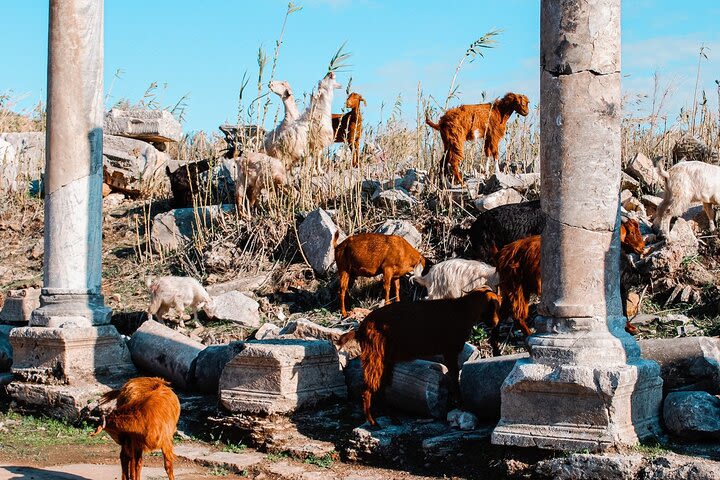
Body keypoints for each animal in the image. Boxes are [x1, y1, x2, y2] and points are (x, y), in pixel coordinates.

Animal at [336, 286, 500, 426]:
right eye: (497, 306)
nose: (496, 324)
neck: (463, 310)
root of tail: (361, 329)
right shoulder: (450, 352)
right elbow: (454, 378)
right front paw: (461, 404)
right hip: (376, 358)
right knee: (367, 390)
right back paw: (373, 422)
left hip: (386, 361)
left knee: (381, 390)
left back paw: (393, 418)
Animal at [498, 218, 644, 348]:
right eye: (633, 233)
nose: (642, 248)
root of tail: (505, 252)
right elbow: (621, 307)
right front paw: (629, 328)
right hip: (516, 287)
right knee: (517, 315)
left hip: (514, 287)